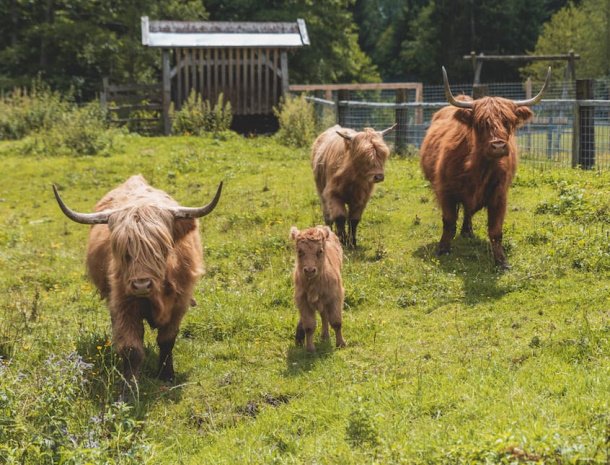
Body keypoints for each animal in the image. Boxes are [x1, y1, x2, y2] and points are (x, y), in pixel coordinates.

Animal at [53, 174, 222, 380]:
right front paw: (129, 384)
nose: (142, 285)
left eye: (162, 248)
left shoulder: (179, 303)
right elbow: (131, 348)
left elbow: (167, 340)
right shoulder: (124, 303)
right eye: (124, 251)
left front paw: (166, 375)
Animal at [420, 66, 548, 268]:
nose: (498, 146)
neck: (478, 170)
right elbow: (448, 222)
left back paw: (467, 232)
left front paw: (501, 261)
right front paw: (443, 249)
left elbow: (496, 230)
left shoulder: (499, 195)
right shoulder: (445, 191)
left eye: (508, 122)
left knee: (468, 212)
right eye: (481, 123)